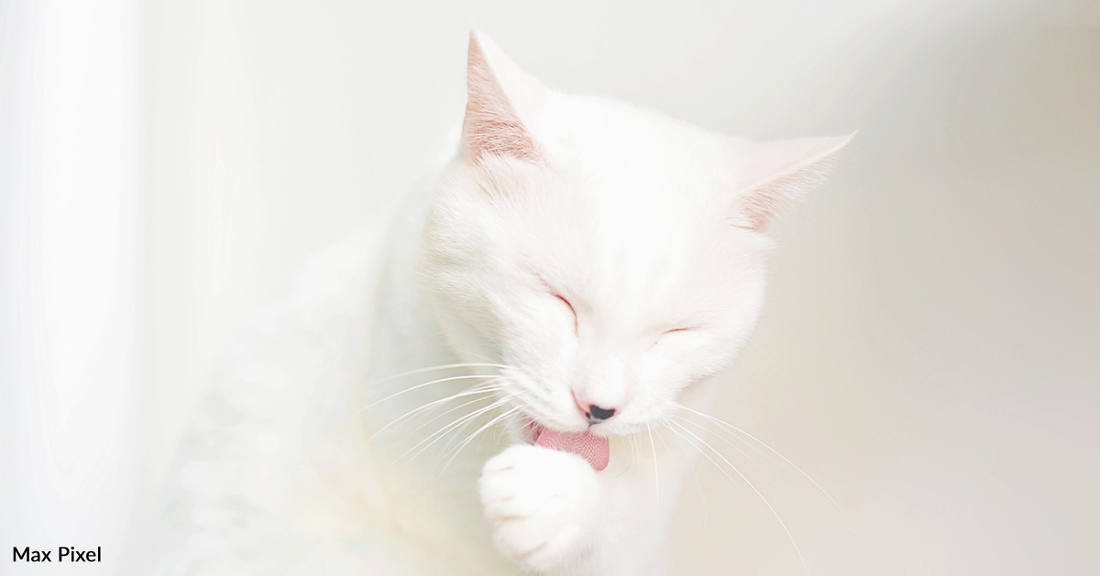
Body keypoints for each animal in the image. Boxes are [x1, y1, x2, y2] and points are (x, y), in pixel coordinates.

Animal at [157, 30, 849, 576]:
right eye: (557, 299)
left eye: (675, 333)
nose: (599, 407)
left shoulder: (661, 474)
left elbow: (617, 520)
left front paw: (560, 502)